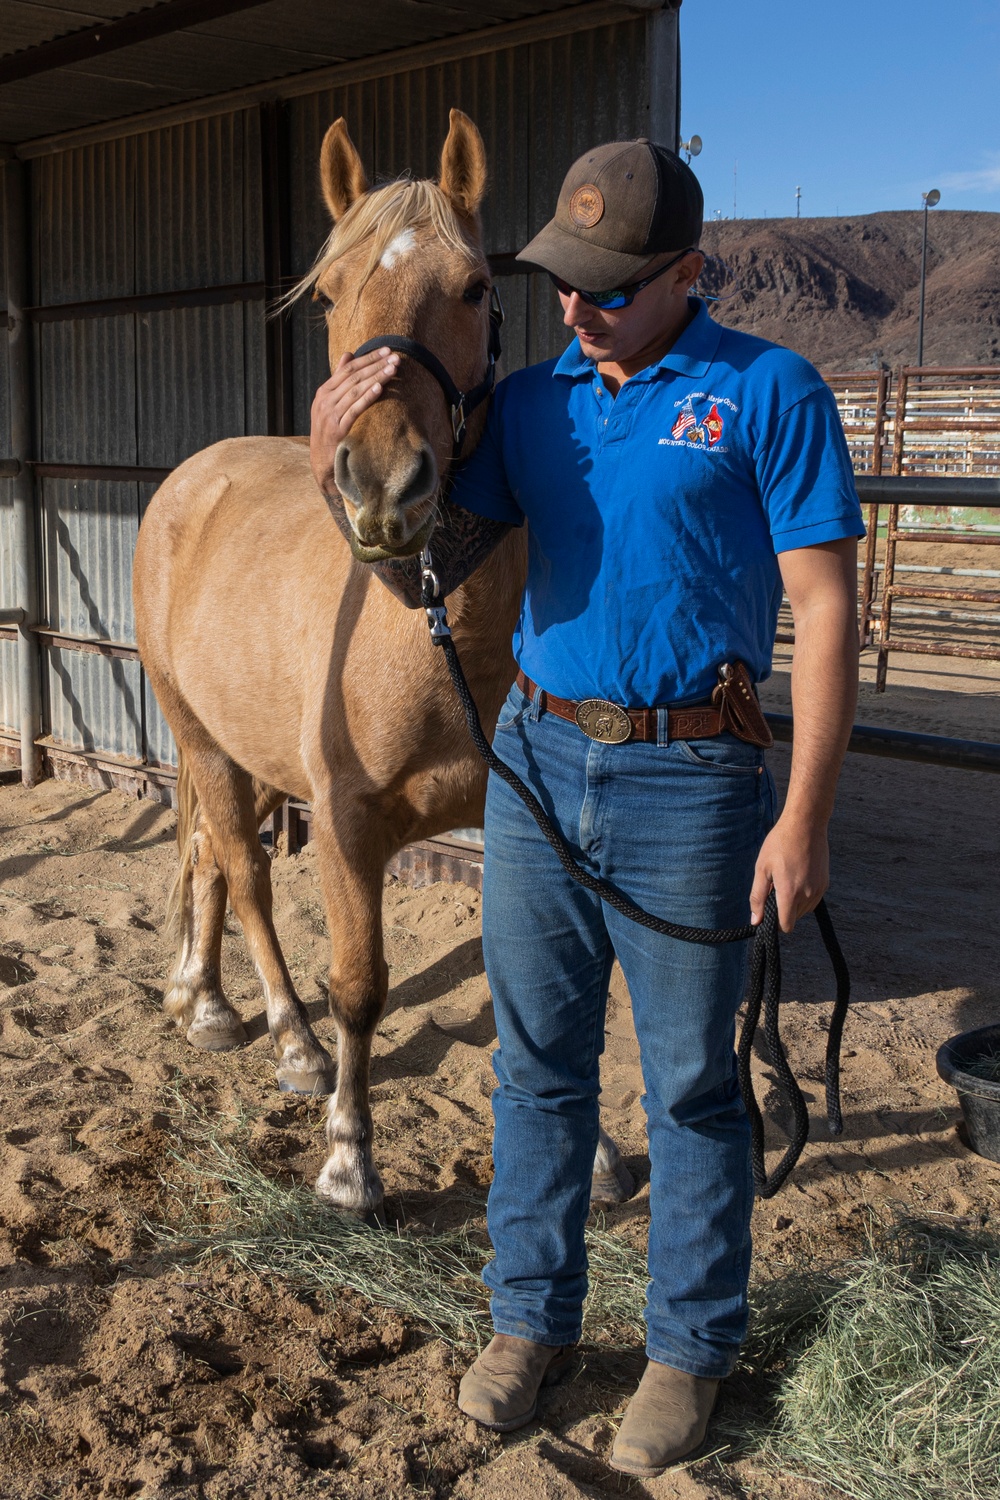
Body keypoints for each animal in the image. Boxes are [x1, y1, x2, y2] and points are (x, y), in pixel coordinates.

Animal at [131, 114, 629, 1218]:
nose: (384, 488)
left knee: (214, 859)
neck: (437, 627)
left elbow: (550, 992)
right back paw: (286, 1041)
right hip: (200, 735)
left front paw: (597, 1153)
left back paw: (206, 998)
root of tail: (195, 475)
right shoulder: (350, 822)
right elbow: (359, 986)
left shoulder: (525, 826)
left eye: (476, 288)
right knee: (243, 873)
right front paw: (350, 1157)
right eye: (327, 293)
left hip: (241, 749)